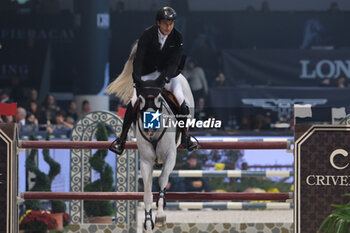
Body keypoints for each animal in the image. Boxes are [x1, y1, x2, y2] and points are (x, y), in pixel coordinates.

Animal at [105, 43, 196, 231]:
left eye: (160, 99)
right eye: (140, 100)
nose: (149, 128)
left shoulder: (170, 156)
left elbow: (162, 180)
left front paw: (160, 215)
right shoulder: (146, 161)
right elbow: (147, 191)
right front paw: (148, 221)